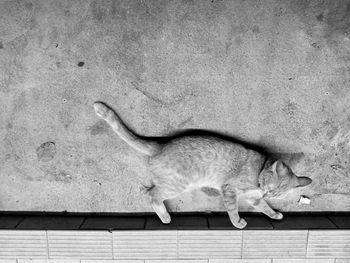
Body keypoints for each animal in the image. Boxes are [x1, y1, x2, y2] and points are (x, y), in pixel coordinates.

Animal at [92, 101, 312, 229]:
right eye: (269, 186)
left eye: (277, 194)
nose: (267, 193)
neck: (259, 171)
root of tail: (161, 145)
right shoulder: (229, 190)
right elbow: (233, 209)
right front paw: (237, 222)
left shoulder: (254, 199)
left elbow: (264, 208)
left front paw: (274, 214)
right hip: (178, 185)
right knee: (153, 196)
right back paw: (165, 217)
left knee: (148, 190)